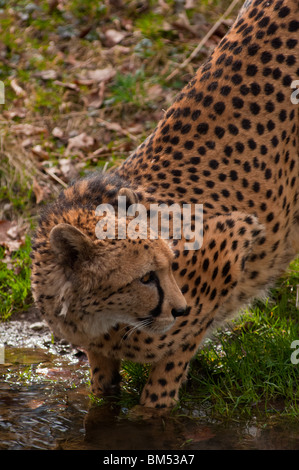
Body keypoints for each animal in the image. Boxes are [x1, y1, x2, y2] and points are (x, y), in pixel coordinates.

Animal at [31, 0, 299, 410]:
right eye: (144, 277)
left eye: (170, 265)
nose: (180, 309)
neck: (103, 318)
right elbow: (102, 392)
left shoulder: (235, 238)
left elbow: (166, 375)